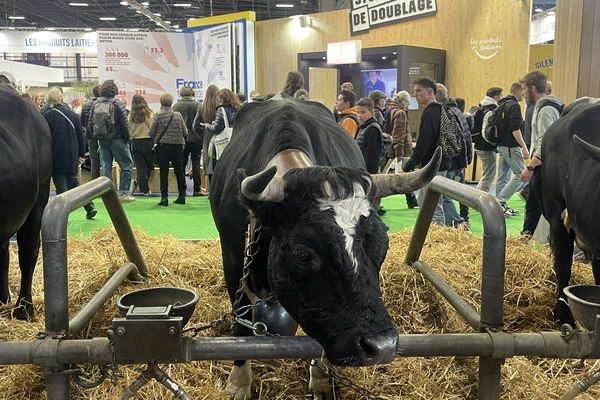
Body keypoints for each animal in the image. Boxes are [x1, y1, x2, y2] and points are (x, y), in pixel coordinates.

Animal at [211, 98, 440, 398]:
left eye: (384, 244)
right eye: (304, 254)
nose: (382, 346)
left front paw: (320, 379)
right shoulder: (233, 259)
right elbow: (241, 322)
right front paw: (239, 383)